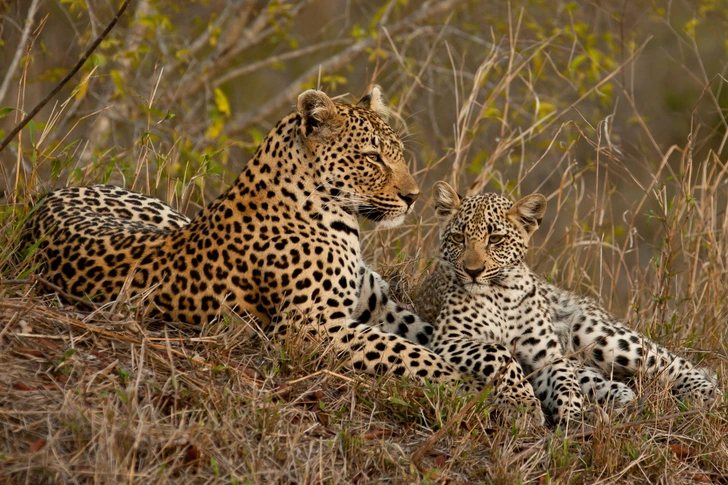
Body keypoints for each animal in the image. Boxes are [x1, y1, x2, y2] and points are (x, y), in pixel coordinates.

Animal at [22, 88, 500, 400]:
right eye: (371, 157)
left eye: (398, 152)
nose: (413, 196)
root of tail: (47, 198)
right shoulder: (311, 327)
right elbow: (411, 355)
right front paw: (468, 387)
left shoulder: (377, 306)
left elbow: (429, 337)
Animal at [416, 182, 724, 424]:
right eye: (458, 237)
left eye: (496, 239)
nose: (473, 271)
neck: (500, 293)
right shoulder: (450, 339)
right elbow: (500, 353)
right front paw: (523, 405)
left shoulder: (548, 355)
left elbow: (564, 381)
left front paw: (573, 413)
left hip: (599, 335)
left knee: (671, 361)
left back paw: (708, 392)